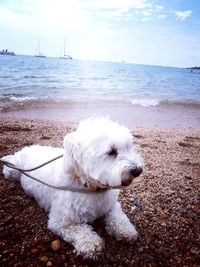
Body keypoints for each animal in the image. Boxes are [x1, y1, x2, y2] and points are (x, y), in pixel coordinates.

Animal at [3, 118, 144, 260]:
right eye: (111, 152)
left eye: (128, 147)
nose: (138, 170)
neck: (89, 187)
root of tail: (28, 148)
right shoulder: (62, 221)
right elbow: (80, 231)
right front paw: (92, 244)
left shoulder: (111, 206)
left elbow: (117, 216)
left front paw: (125, 230)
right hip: (13, 171)